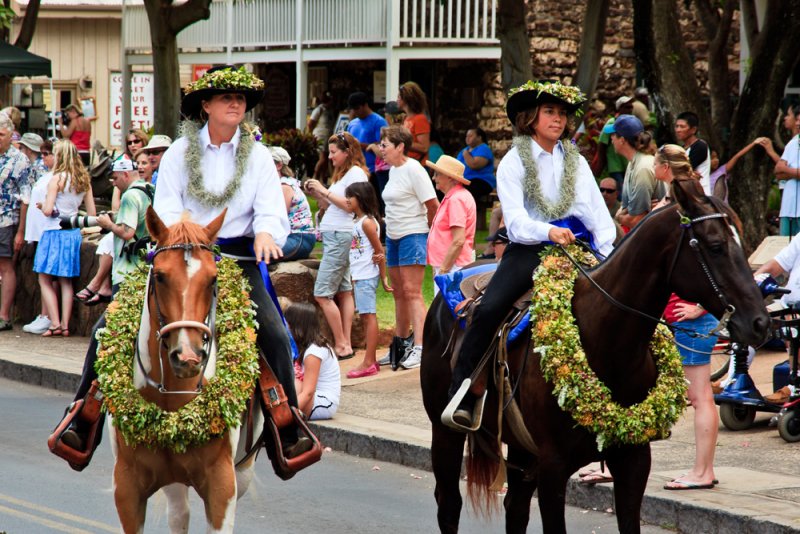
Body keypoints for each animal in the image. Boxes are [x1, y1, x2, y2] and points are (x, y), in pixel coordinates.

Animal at [106, 207, 260, 532]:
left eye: (213, 279)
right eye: (160, 276)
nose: (187, 357)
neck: (172, 396)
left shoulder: (222, 486)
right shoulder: (126, 486)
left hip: (243, 471)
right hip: (173, 480)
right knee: (179, 513)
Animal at [422, 178, 772, 532]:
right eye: (715, 246)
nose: (760, 322)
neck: (606, 342)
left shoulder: (633, 460)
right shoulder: (553, 466)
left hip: (521, 447)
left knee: (515, 507)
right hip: (446, 434)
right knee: (448, 504)